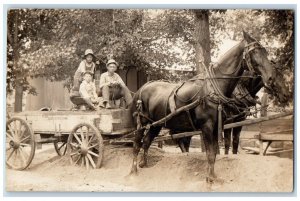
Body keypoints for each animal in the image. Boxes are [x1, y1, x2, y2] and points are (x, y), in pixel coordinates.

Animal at [130, 31, 276, 182]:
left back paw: (144, 164)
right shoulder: (207, 126)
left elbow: (215, 152)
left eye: (265, 52)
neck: (213, 88)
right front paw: (209, 178)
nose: (271, 78)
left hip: (156, 124)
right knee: (136, 144)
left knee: (147, 141)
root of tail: (143, 87)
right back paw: (133, 170)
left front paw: (213, 176)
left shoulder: (218, 126)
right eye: (255, 52)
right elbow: (210, 153)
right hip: (141, 124)